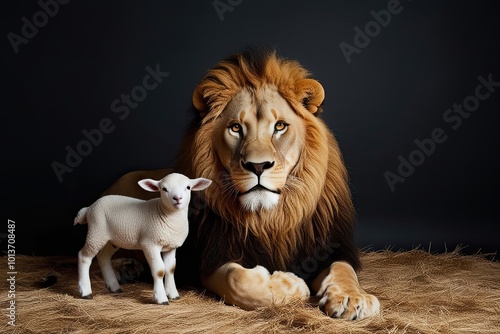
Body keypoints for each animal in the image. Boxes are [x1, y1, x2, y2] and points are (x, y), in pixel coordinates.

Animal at [73, 174, 210, 304]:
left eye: (188, 187)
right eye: (164, 189)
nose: (177, 198)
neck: (166, 214)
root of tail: (89, 208)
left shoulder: (171, 246)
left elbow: (171, 269)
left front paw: (173, 294)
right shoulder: (150, 244)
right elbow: (160, 270)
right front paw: (161, 298)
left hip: (111, 239)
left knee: (103, 257)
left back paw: (114, 286)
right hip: (96, 232)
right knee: (84, 257)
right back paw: (85, 291)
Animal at [105, 48, 378, 320]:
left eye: (280, 126)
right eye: (236, 128)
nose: (258, 166)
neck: (271, 219)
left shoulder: (329, 247)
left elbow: (342, 269)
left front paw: (352, 298)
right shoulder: (211, 258)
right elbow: (237, 279)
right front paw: (291, 284)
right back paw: (123, 267)